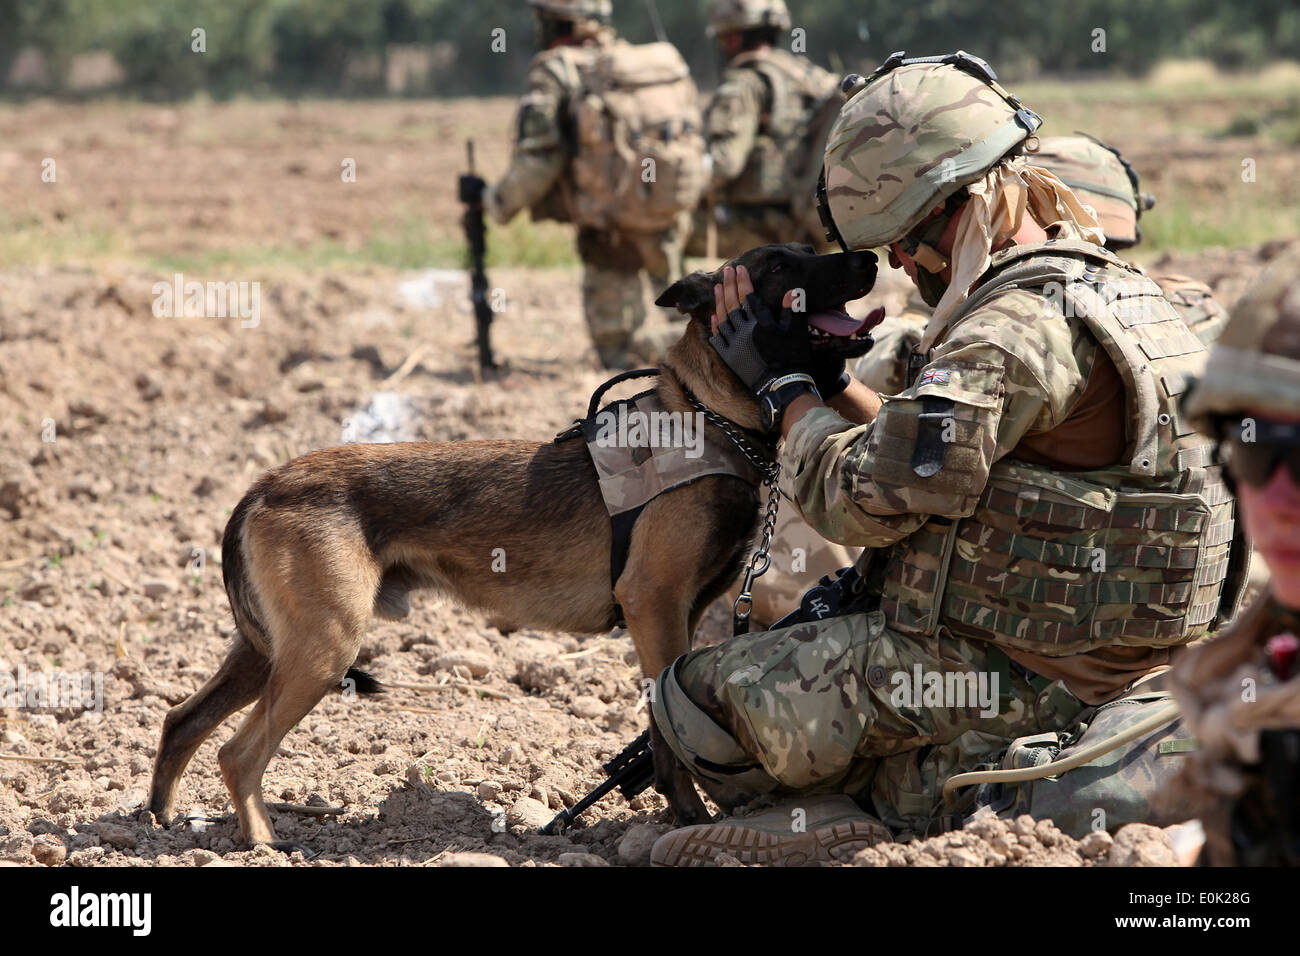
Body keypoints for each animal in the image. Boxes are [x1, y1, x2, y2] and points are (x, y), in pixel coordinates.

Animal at [147, 243, 878, 848]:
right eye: (780, 265)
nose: (869, 257)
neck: (709, 414)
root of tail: (264, 484)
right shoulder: (654, 607)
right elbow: (669, 736)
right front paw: (688, 820)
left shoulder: (680, 618)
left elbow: (663, 726)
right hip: (323, 648)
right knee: (238, 752)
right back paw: (263, 844)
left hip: (269, 648)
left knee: (181, 720)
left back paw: (158, 821)